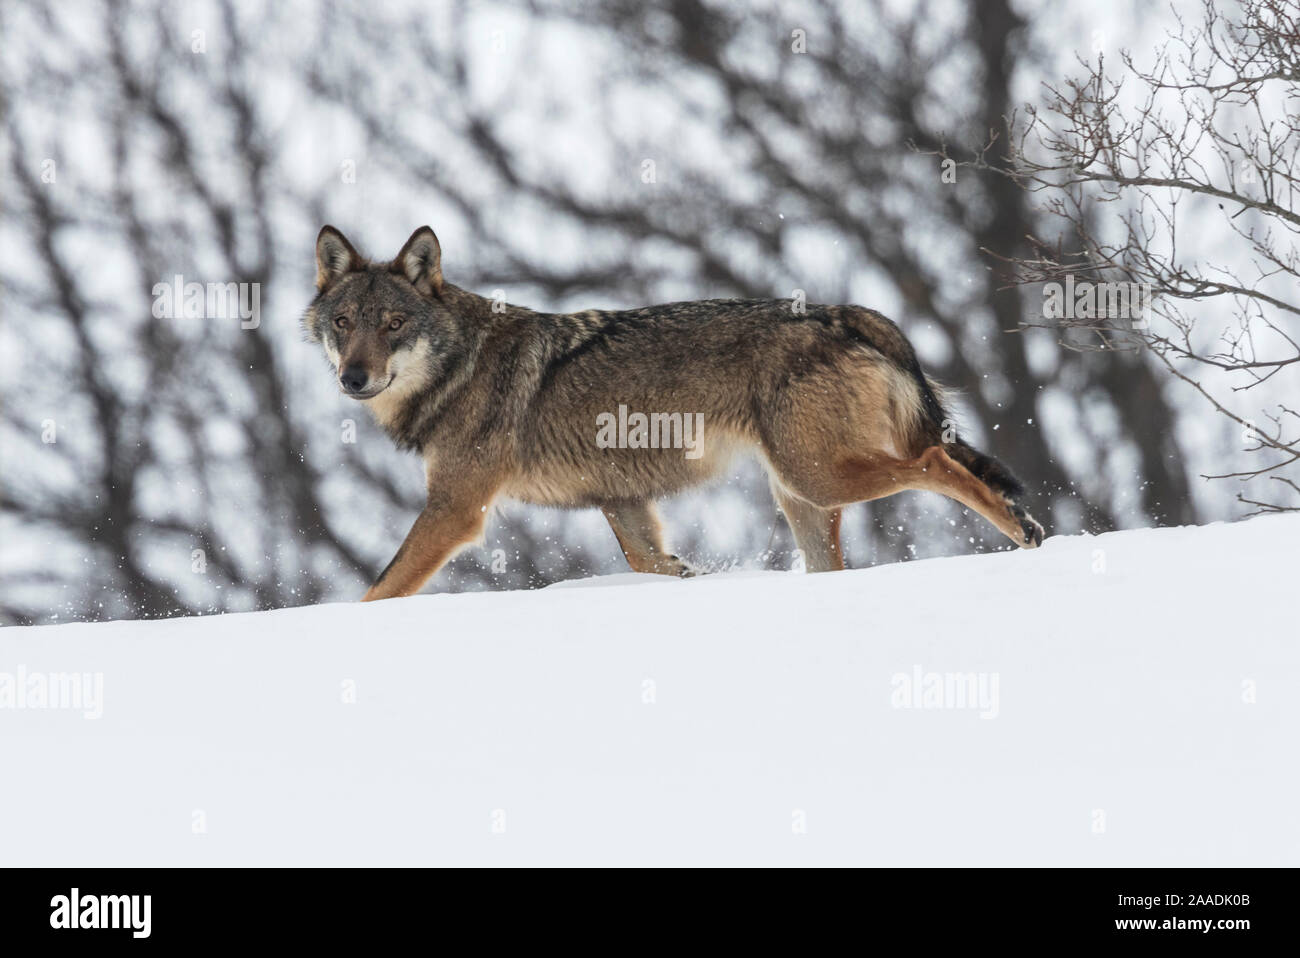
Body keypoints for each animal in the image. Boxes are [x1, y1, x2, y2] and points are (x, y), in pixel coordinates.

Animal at [299, 224, 1040, 597]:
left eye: (394, 324)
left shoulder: (456, 510)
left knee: (937, 460)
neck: (460, 365)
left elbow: (379, 590)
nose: (354, 377)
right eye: (343, 323)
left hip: (817, 476)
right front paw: (692, 580)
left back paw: (1024, 530)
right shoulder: (622, 500)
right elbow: (649, 561)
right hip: (800, 495)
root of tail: (845, 312)